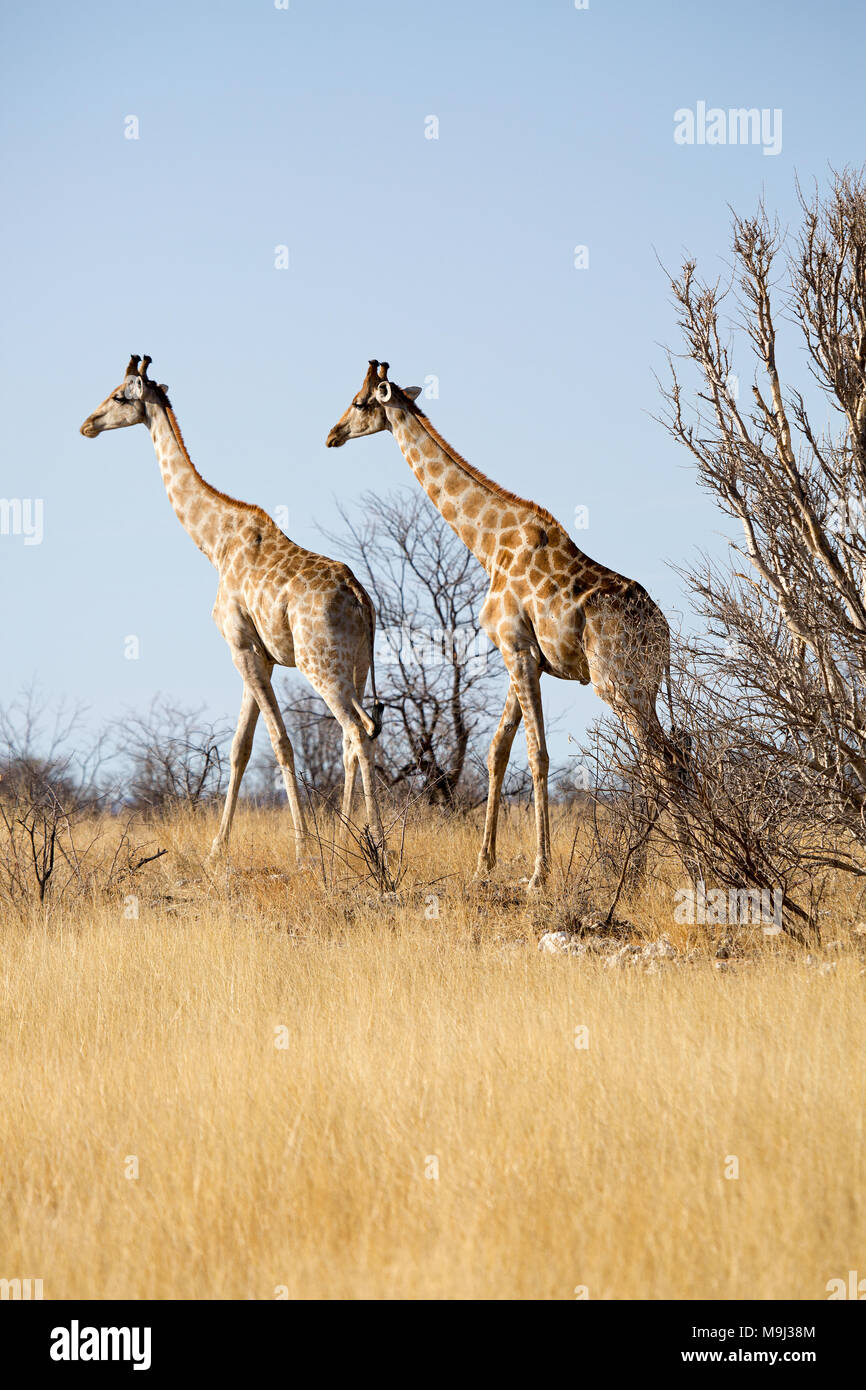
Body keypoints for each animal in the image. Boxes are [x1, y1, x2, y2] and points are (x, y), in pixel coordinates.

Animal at [82, 353, 386, 861]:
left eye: (120, 396)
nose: (88, 423)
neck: (215, 541)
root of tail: (361, 599)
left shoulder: (240, 646)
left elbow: (279, 742)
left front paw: (303, 849)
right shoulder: (259, 653)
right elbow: (239, 747)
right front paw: (215, 850)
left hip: (320, 663)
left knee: (358, 731)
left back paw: (377, 845)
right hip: (357, 665)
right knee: (356, 732)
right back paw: (350, 839)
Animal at [328, 361, 686, 889]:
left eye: (359, 402)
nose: (331, 435)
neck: (488, 543)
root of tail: (662, 633)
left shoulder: (516, 649)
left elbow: (537, 754)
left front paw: (539, 873)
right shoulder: (525, 656)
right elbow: (498, 750)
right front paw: (484, 865)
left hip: (618, 683)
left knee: (661, 760)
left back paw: (680, 865)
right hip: (646, 685)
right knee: (666, 756)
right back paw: (658, 865)